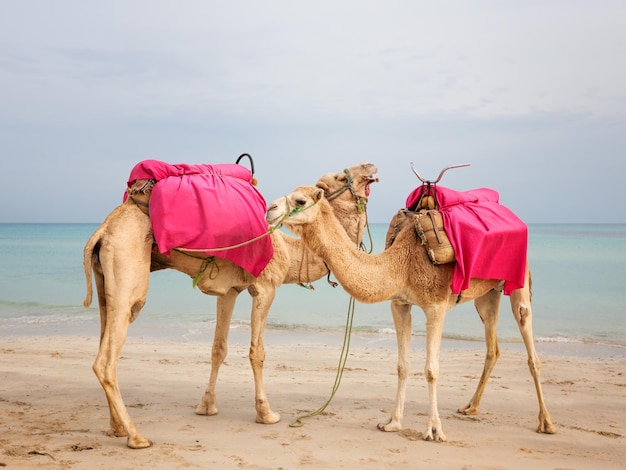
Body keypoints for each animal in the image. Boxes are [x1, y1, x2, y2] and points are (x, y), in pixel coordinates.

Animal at [82, 162, 376, 448]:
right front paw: (266, 413)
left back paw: (116, 428)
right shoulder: (265, 287)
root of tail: (102, 230)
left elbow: (218, 349)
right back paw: (136, 436)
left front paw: (206, 406)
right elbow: (257, 352)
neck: (290, 251)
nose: (371, 168)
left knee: (104, 332)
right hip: (128, 265)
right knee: (106, 360)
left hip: (105, 277)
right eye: (341, 177)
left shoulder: (229, 291)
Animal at [266, 186, 552, 440]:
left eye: (300, 201)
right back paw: (471, 407)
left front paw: (434, 430)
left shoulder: (435, 306)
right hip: (487, 292)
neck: (401, 263)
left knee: (528, 335)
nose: (270, 209)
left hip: (518, 278)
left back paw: (546, 422)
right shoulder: (400, 304)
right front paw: (392, 422)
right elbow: (402, 366)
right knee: (492, 343)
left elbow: (431, 369)